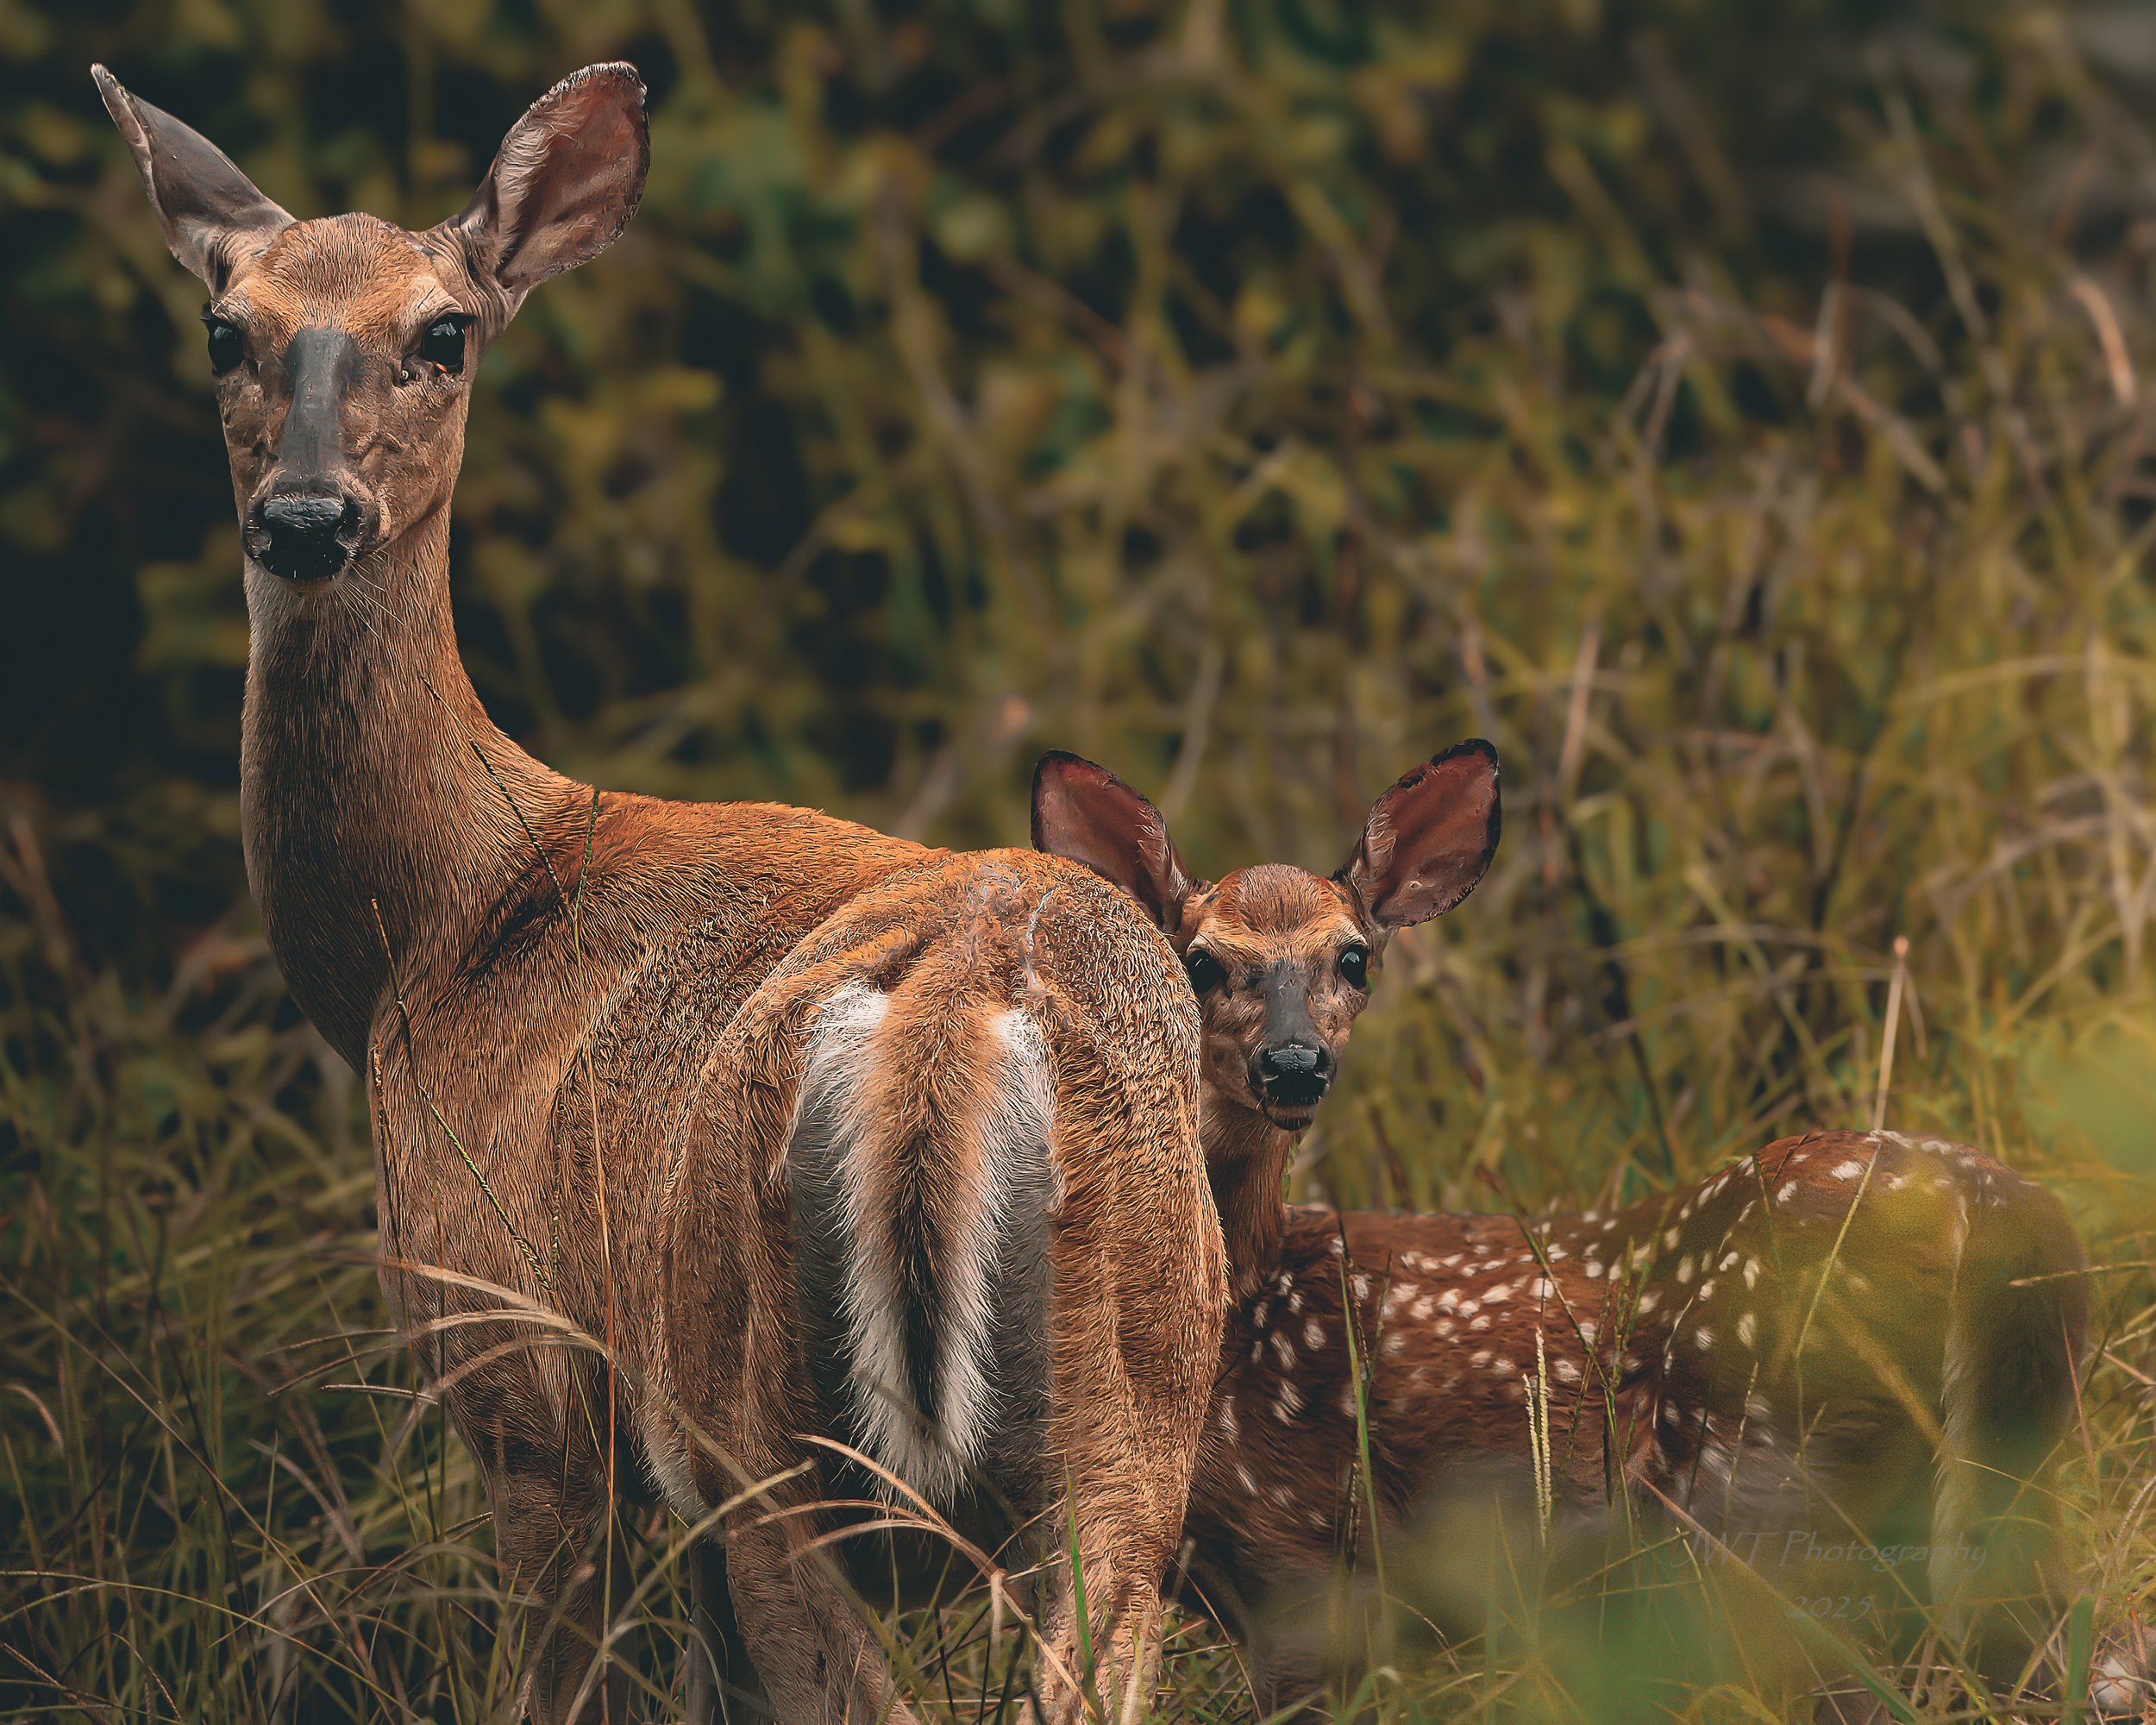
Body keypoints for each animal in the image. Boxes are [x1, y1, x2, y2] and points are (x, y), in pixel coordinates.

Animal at [95, 62, 1227, 1724]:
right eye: (223, 328)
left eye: (445, 332)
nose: (306, 516)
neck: (427, 931)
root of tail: (951, 1022)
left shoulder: (525, 1383)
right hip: (1138, 1421)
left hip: (753, 1419)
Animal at [1033, 744, 2090, 1706]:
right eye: (1202, 960)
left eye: (1353, 956)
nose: (1293, 1063)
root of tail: (1990, 1211)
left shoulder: (1304, 1568)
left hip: (1775, 1484)